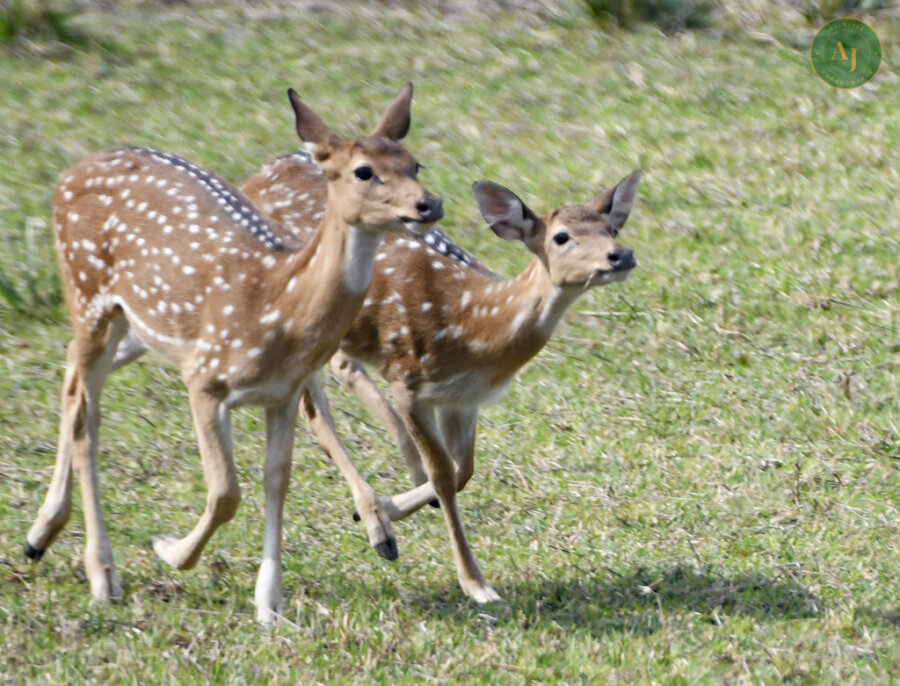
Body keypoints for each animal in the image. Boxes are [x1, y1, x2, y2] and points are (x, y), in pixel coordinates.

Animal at [29, 82, 446, 624]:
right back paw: (102, 574)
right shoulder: (205, 379)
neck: (278, 303)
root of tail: (67, 174)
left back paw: (39, 536)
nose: (429, 204)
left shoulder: (282, 394)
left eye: (414, 163)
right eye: (363, 171)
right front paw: (169, 550)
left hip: (129, 325)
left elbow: (276, 480)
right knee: (84, 411)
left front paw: (268, 603)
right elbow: (226, 491)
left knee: (75, 385)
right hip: (87, 293)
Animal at [243, 152, 640, 608]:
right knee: (314, 406)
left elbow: (462, 469)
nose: (621, 255)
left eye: (612, 228)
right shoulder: (410, 383)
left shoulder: (463, 400)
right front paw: (477, 584)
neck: (473, 326)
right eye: (561, 236)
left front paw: (393, 505)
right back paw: (379, 529)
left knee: (341, 375)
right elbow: (445, 476)